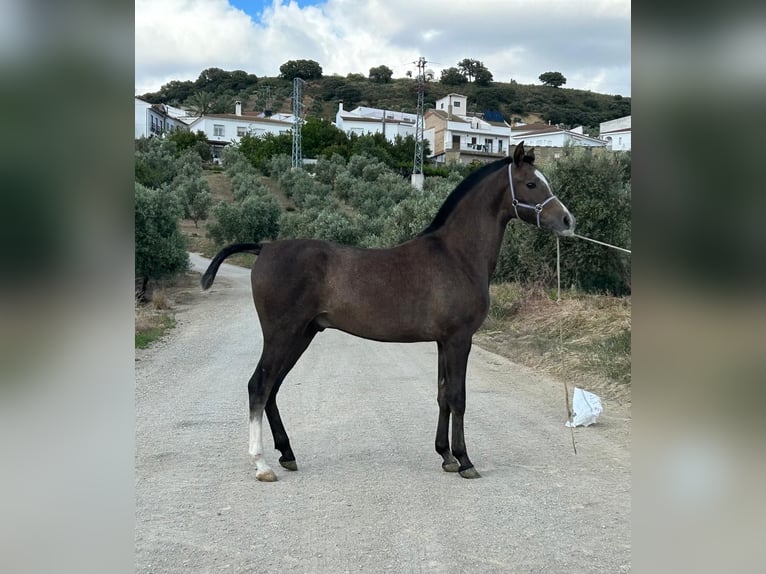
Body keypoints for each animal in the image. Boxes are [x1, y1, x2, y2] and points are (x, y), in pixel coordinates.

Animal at [201, 142, 575, 482]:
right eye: (531, 184)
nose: (567, 220)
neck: (456, 255)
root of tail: (264, 248)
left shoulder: (443, 342)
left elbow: (442, 395)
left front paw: (445, 456)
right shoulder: (459, 340)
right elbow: (458, 397)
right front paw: (465, 460)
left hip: (301, 335)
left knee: (273, 389)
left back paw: (287, 454)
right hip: (282, 335)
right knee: (259, 386)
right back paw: (262, 464)